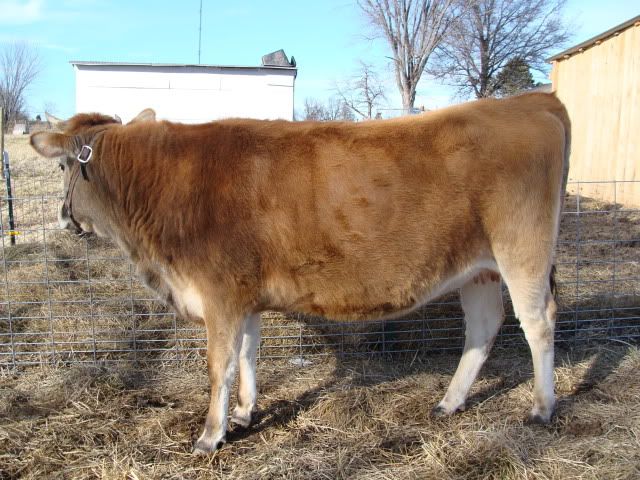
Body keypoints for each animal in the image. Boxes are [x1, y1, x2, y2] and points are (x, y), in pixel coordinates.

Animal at [30, 92, 570, 454]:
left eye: (61, 167)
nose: (61, 217)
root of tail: (534, 100)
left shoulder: (219, 292)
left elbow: (219, 365)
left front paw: (210, 436)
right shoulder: (244, 294)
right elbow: (247, 355)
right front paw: (245, 413)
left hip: (522, 249)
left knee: (539, 321)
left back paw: (541, 407)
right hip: (478, 269)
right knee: (483, 327)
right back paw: (449, 402)